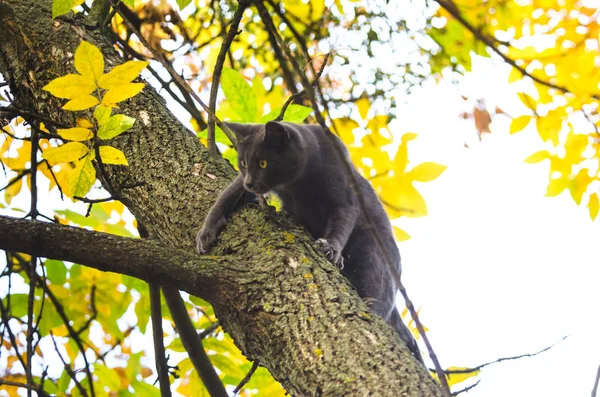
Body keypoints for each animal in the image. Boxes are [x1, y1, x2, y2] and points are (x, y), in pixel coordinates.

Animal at [197, 120, 422, 362]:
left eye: (263, 163)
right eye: (244, 163)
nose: (250, 181)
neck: (299, 183)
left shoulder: (345, 199)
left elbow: (341, 224)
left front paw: (330, 249)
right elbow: (227, 195)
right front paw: (206, 232)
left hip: (372, 254)